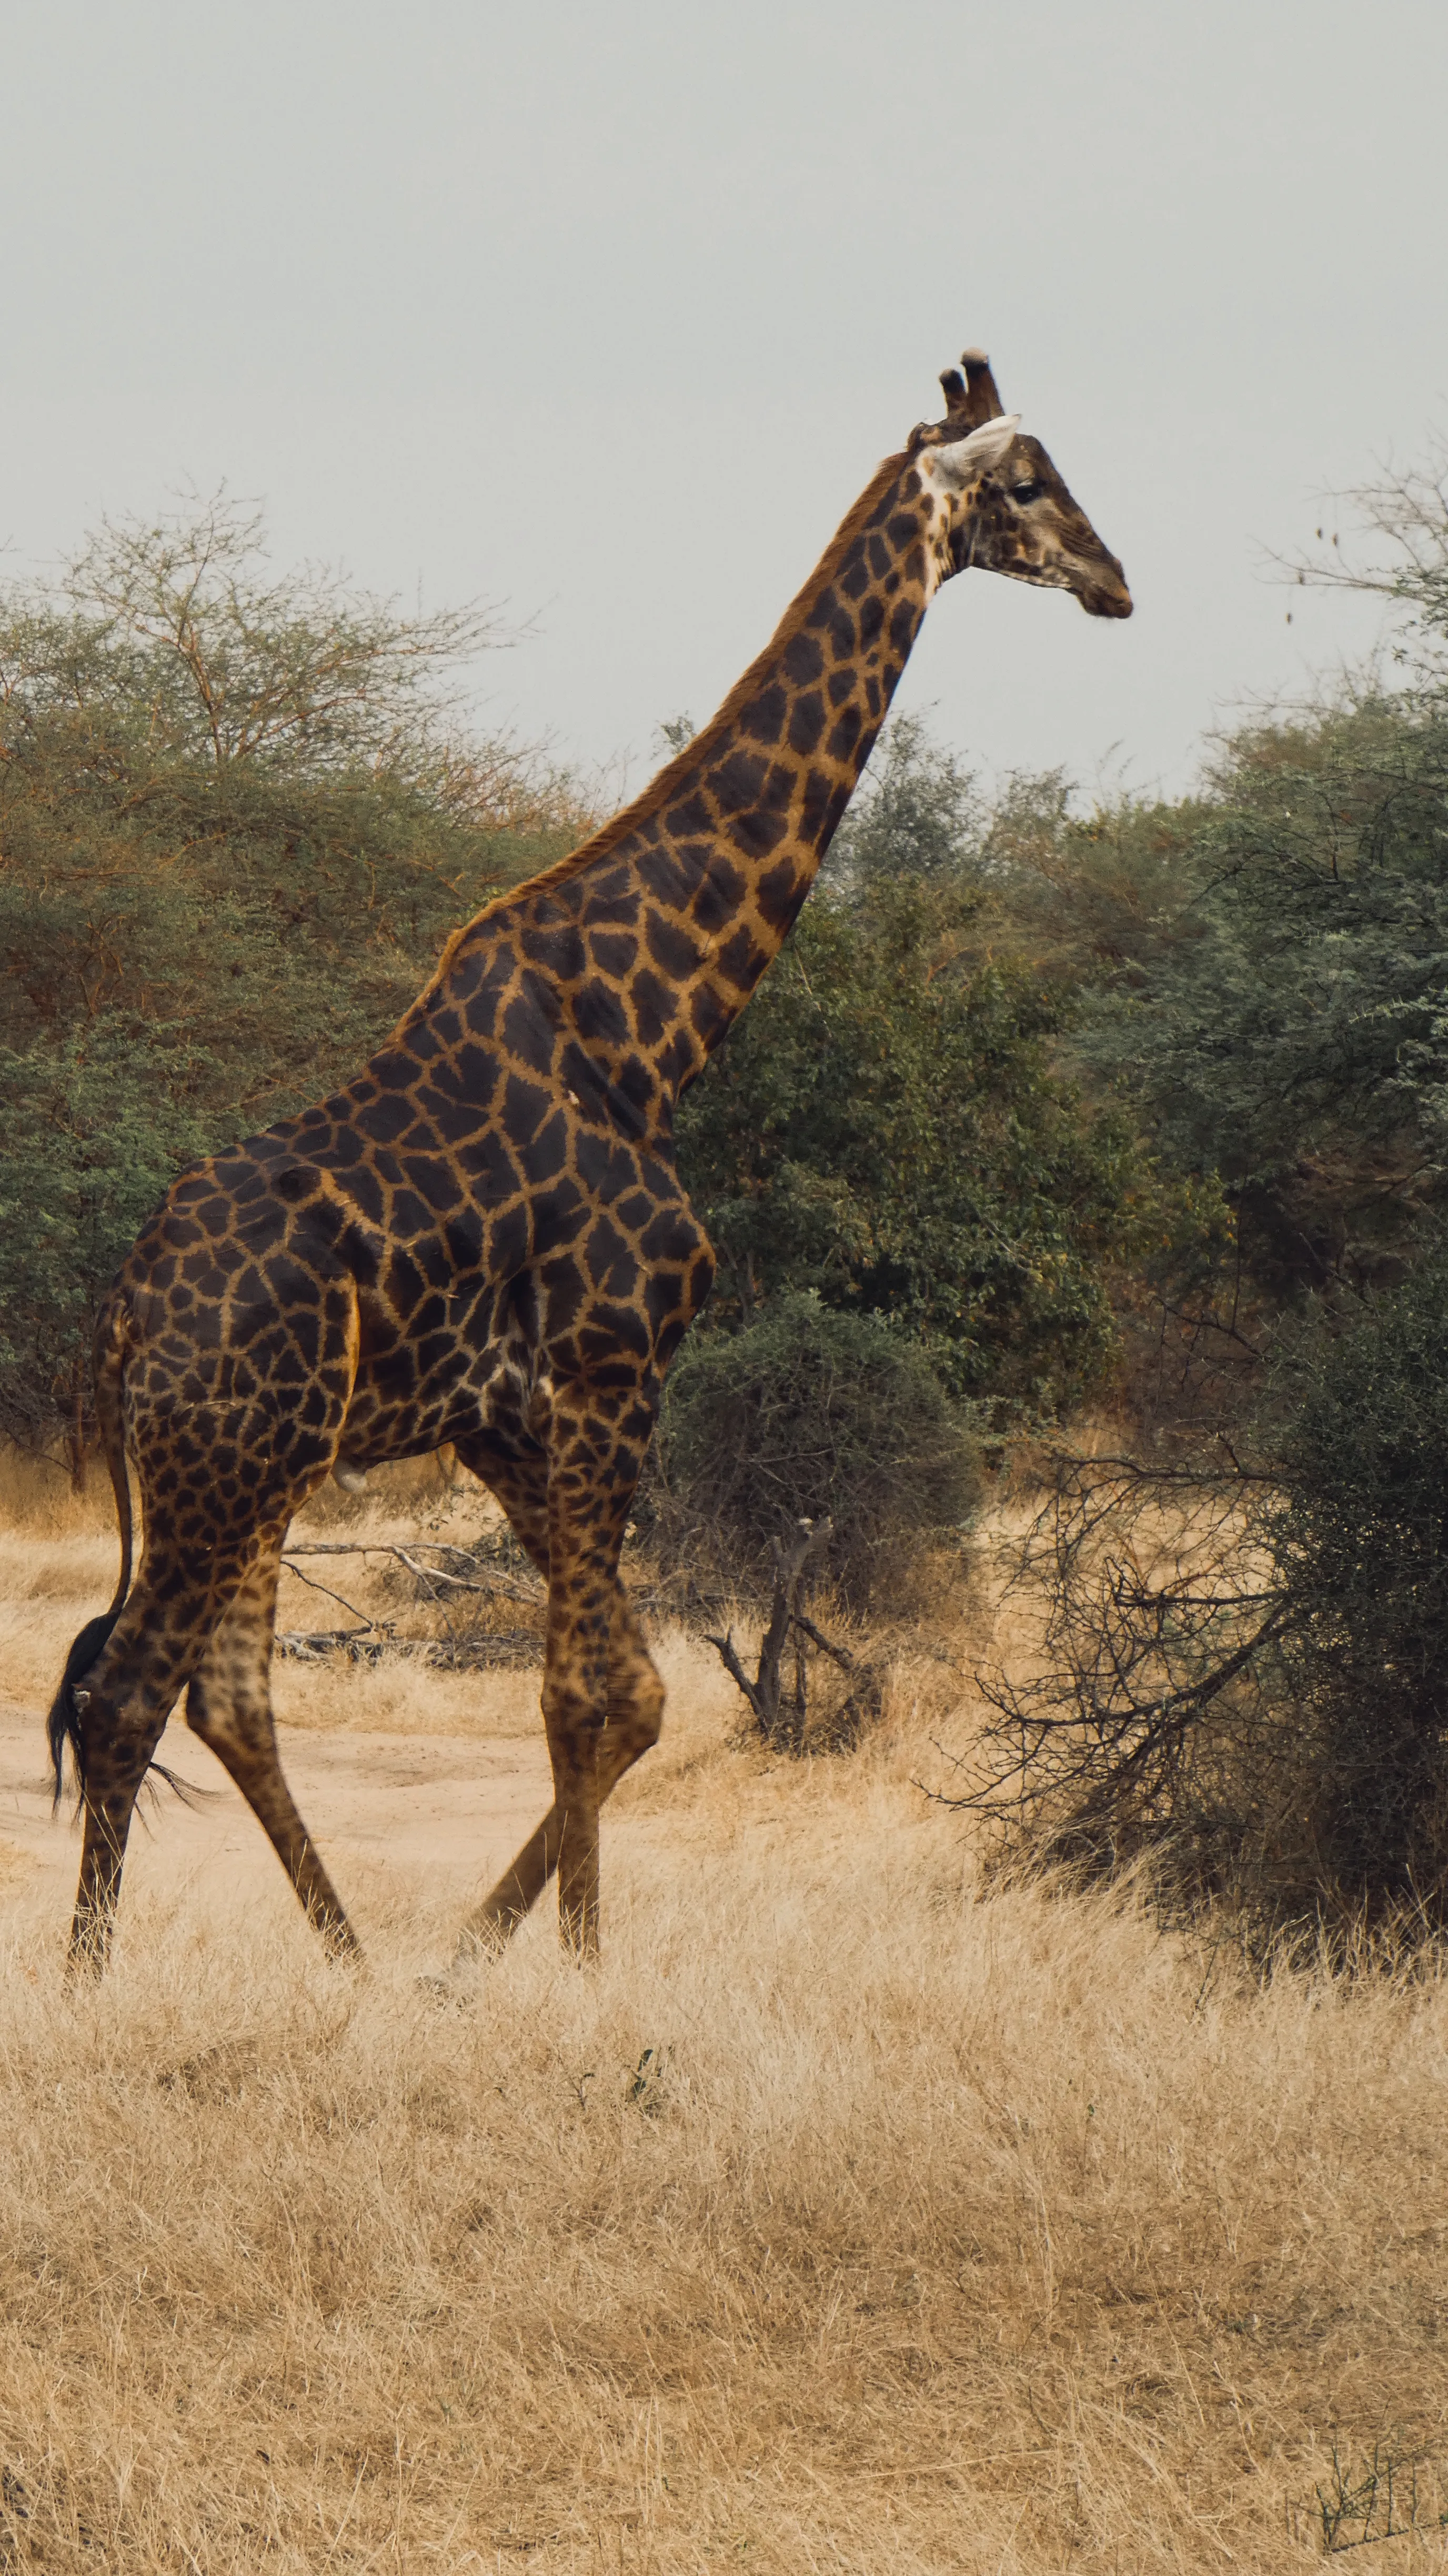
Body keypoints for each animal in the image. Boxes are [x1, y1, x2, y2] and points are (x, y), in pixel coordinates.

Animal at [46, 348, 1131, 1975]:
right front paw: (577, 1968)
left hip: (265, 1468)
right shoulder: (618, 1361)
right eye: (1023, 482)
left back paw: (354, 1964)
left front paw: (475, 1963)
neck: (652, 1032)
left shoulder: (511, 1414)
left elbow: (633, 1694)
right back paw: (91, 1982)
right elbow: (581, 1696)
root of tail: (124, 1318)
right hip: (213, 1461)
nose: (1117, 580)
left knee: (226, 1696)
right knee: (122, 1697)